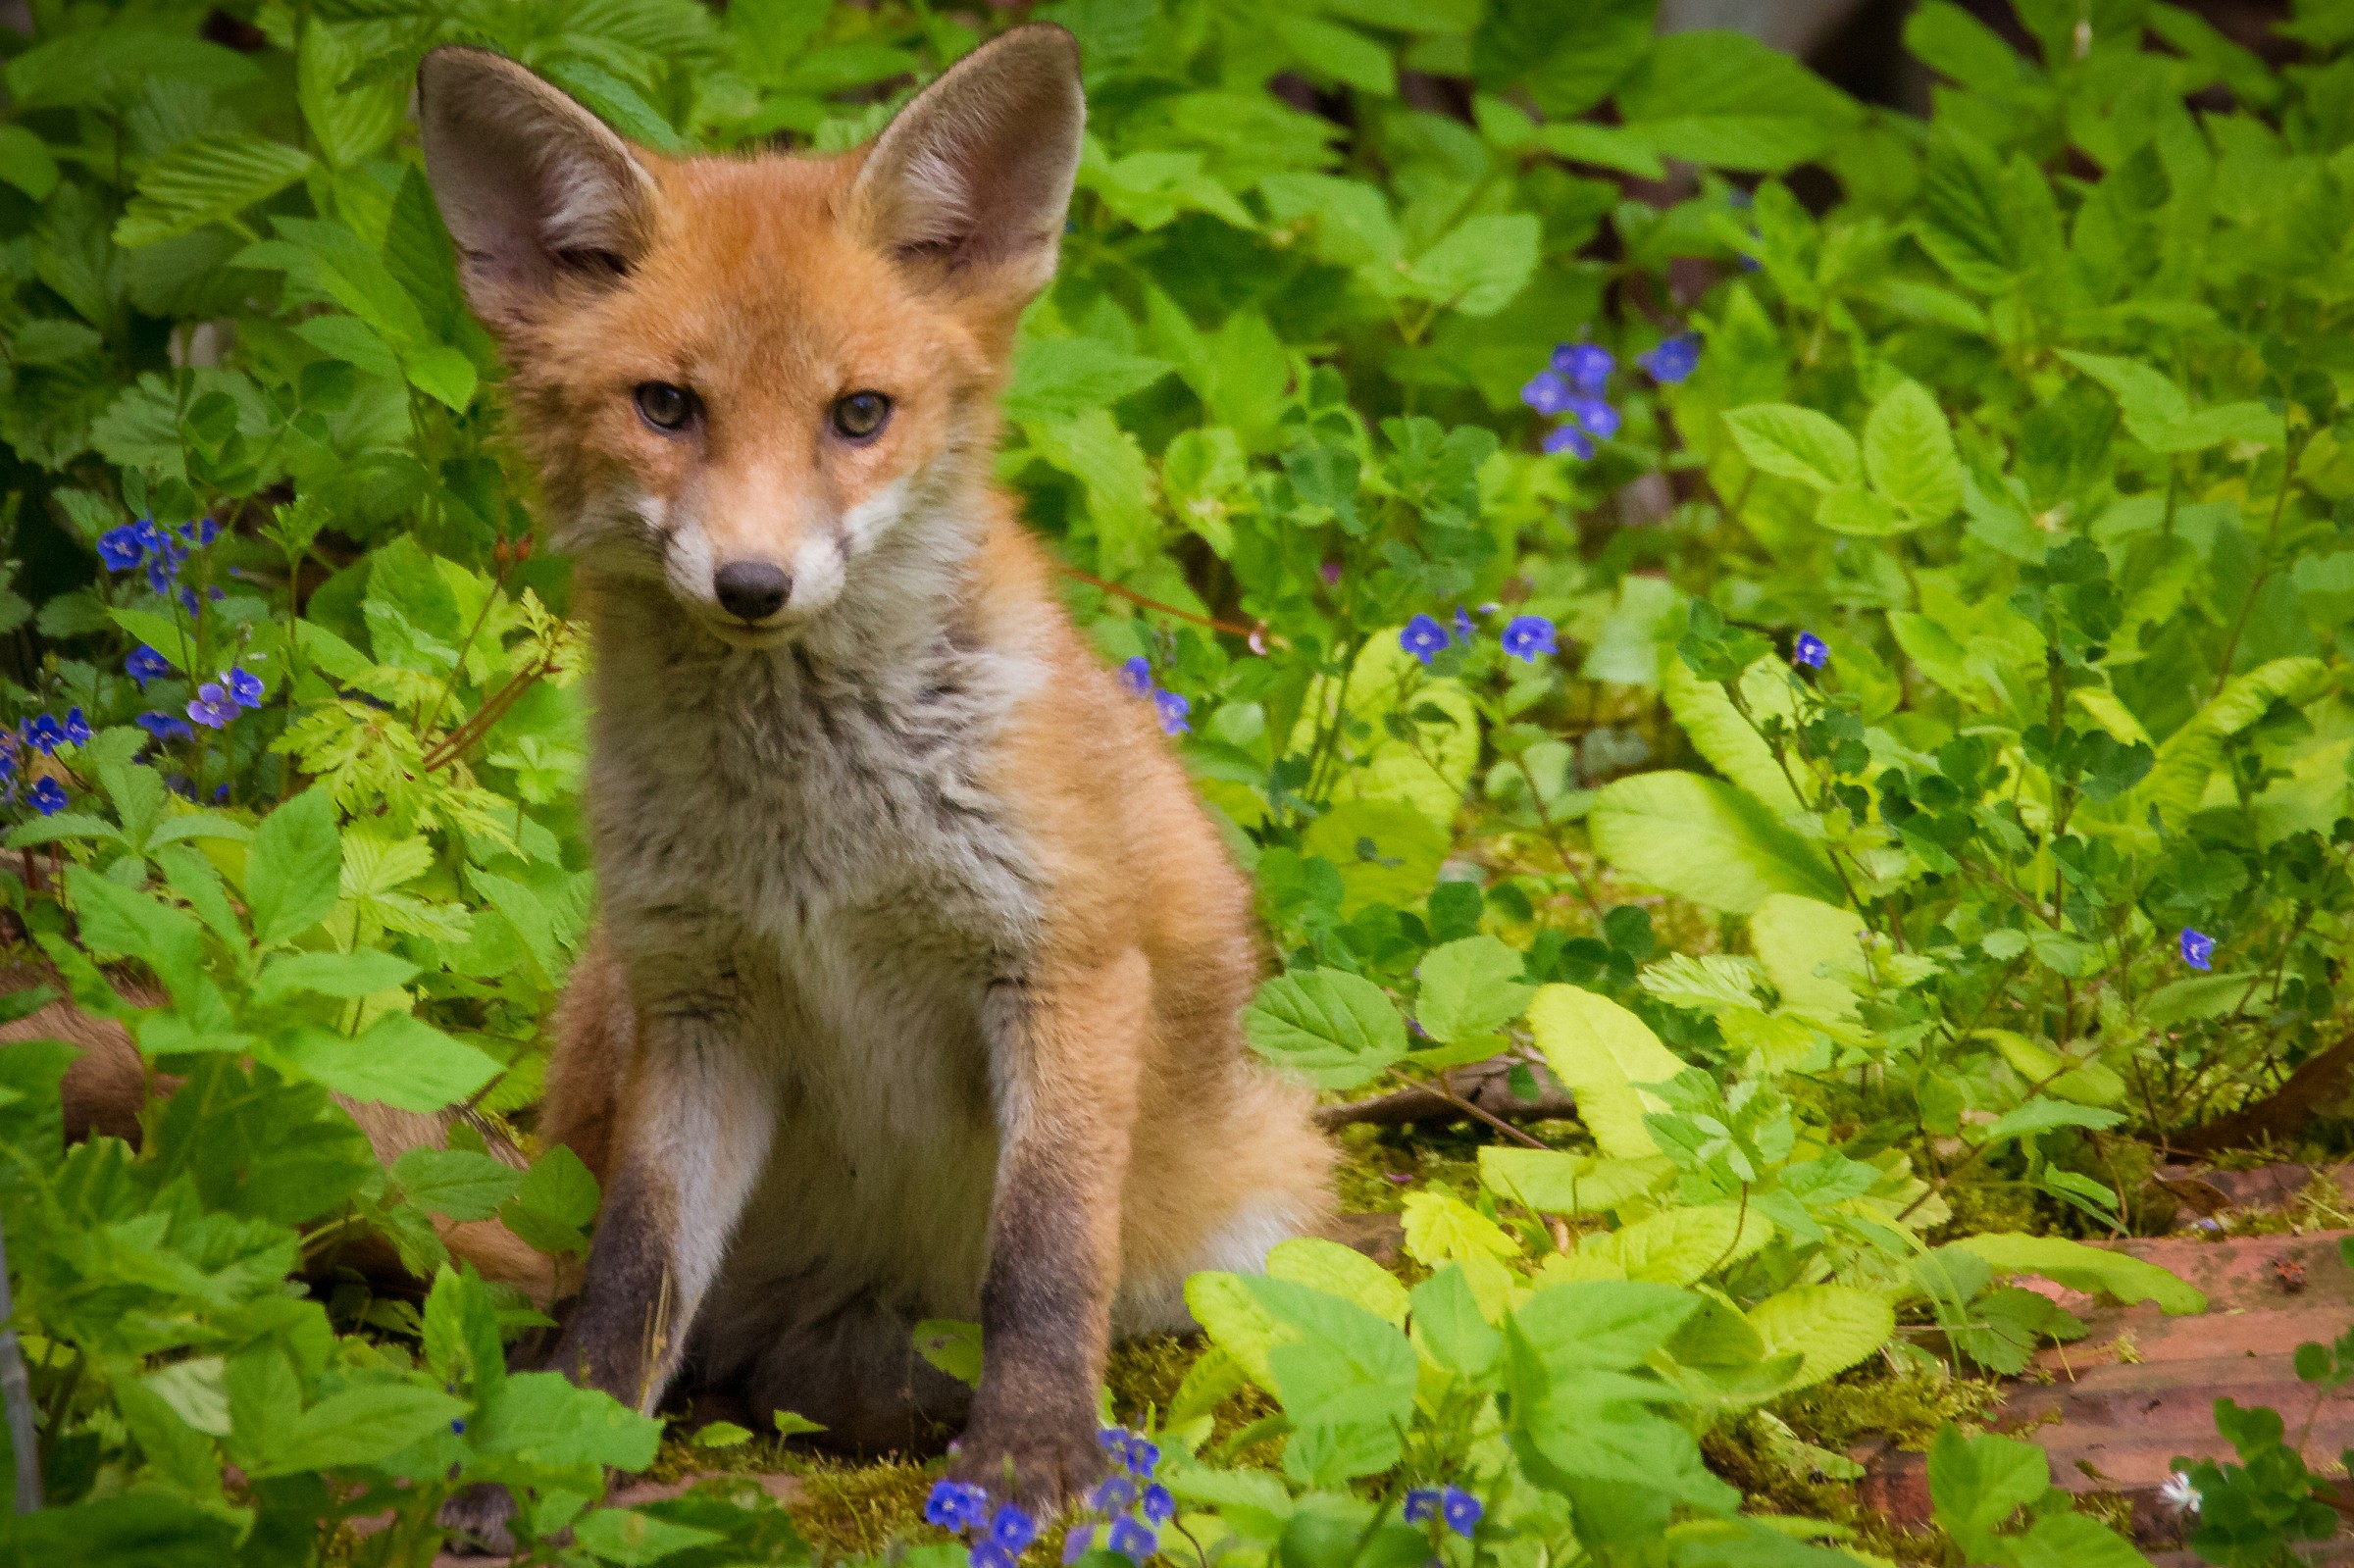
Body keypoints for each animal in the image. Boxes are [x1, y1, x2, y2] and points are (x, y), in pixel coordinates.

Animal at [413, 23, 1333, 1549]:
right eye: (666, 407)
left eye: (858, 415)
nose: (752, 583)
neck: (816, 840)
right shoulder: (700, 1004)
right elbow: (633, 1272)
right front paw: (556, 1450)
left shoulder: (1064, 966)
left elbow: (1043, 1256)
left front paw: (1030, 1460)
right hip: (610, 1020)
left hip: (1253, 1208)